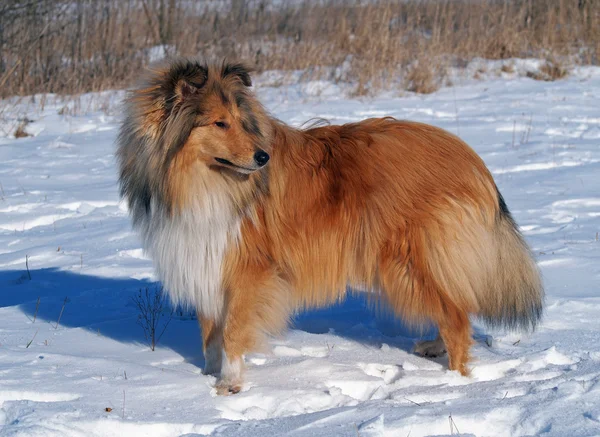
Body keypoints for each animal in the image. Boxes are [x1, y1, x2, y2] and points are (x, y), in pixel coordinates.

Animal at [117, 59, 544, 394]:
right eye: (219, 123)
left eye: (239, 121)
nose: (263, 157)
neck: (201, 182)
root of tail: (470, 158)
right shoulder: (204, 258)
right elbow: (210, 332)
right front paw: (206, 376)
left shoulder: (248, 270)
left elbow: (235, 329)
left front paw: (229, 384)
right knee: (455, 303)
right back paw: (434, 348)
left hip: (406, 261)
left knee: (456, 315)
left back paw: (454, 382)